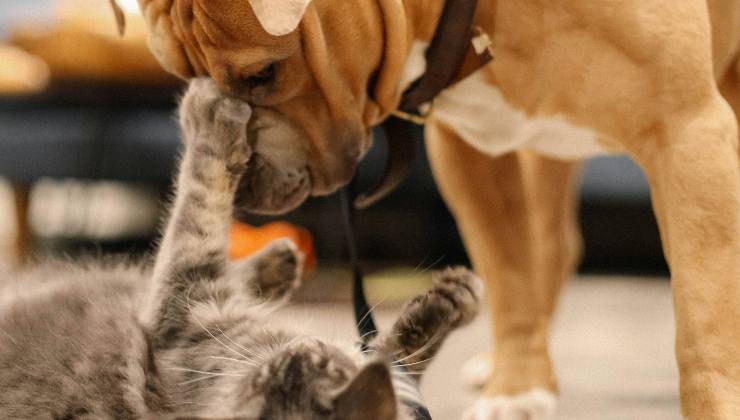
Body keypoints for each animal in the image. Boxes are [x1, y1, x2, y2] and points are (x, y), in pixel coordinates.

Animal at [0, 79, 482, 420]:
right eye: (312, 360)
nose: (302, 347)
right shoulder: (184, 312)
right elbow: (199, 205)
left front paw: (447, 301)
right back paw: (276, 264)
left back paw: (277, 266)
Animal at [123, 1, 740, 418]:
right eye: (182, 75)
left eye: (263, 73)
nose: (240, 178)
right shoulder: (472, 155)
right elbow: (511, 274)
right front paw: (516, 387)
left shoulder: (687, 133)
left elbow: (702, 326)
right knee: (553, 245)